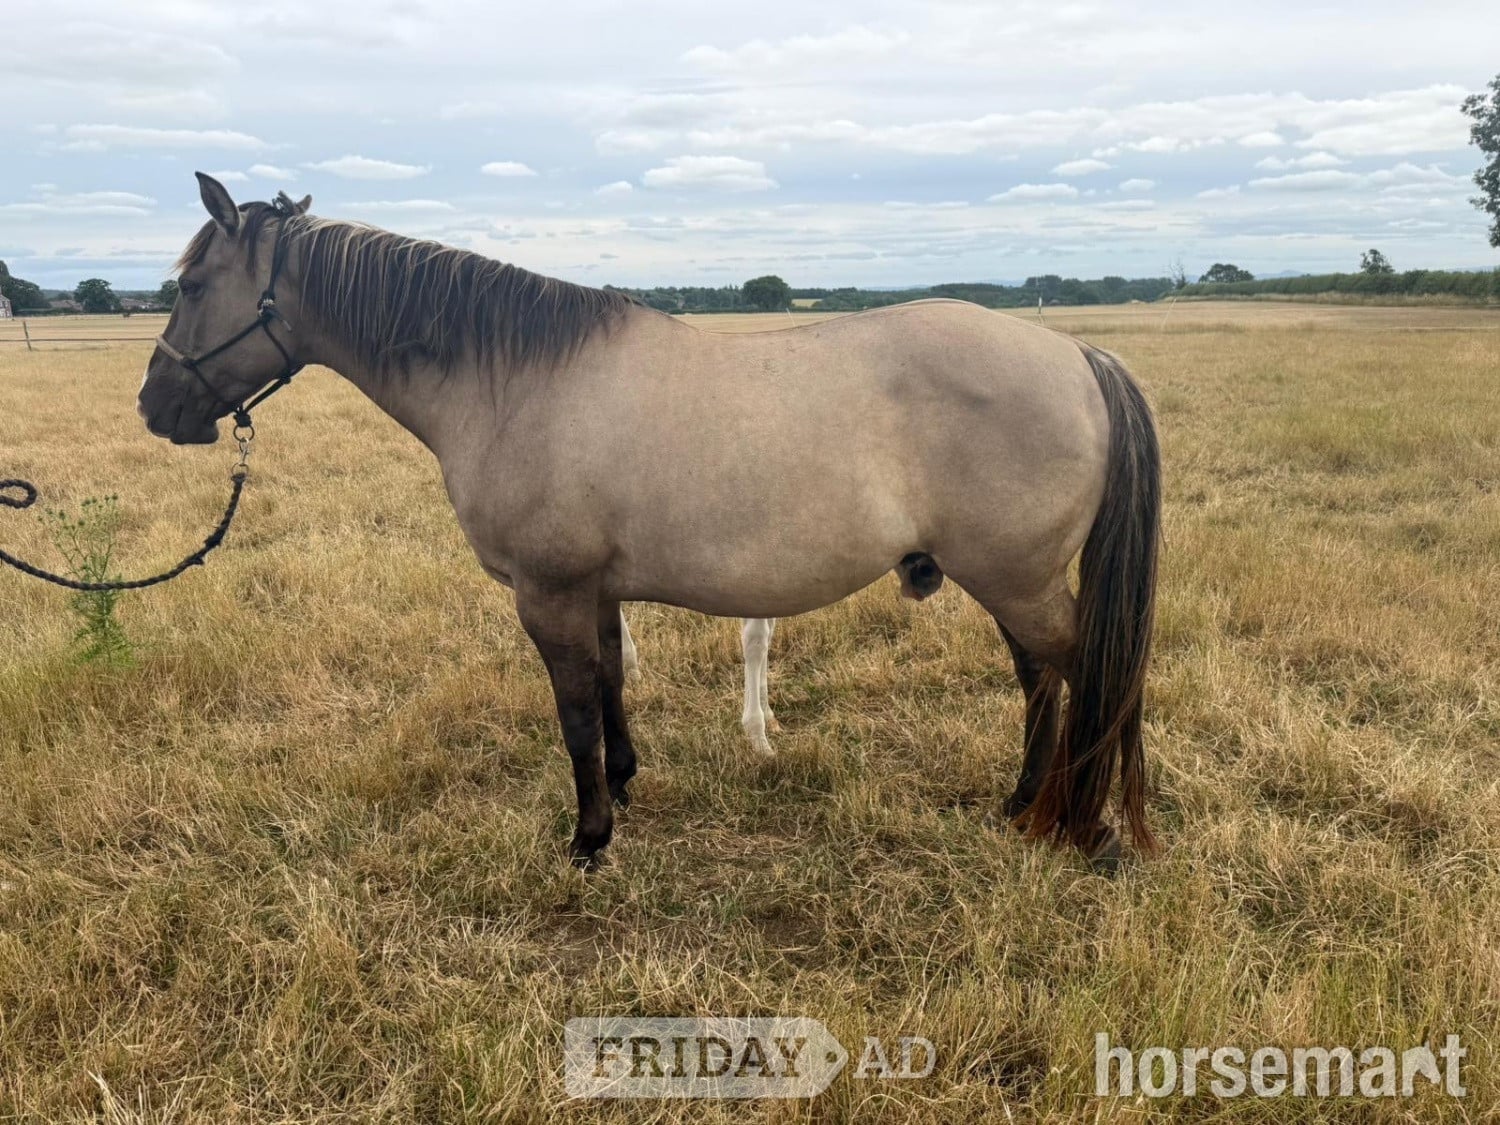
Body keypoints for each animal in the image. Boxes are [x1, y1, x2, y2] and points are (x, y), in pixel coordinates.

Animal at [138, 175, 1161, 871]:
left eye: (189, 287)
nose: (154, 407)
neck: (515, 379)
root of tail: (1078, 354)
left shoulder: (548, 593)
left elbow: (573, 710)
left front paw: (590, 836)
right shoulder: (593, 589)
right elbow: (611, 685)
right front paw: (625, 784)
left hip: (1018, 579)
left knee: (1086, 673)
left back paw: (1088, 825)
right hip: (1009, 581)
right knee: (1043, 680)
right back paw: (1024, 803)